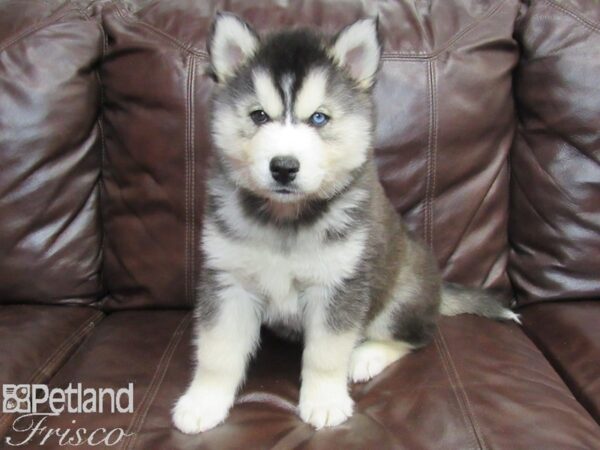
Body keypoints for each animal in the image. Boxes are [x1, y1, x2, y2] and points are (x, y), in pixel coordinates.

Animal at [173, 13, 520, 432]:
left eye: (319, 118)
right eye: (259, 116)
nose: (284, 167)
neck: (286, 220)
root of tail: (437, 290)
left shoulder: (338, 286)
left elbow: (325, 354)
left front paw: (324, 400)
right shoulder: (228, 281)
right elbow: (217, 351)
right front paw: (204, 401)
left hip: (401, 296)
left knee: (415, 338)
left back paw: (366, 355)